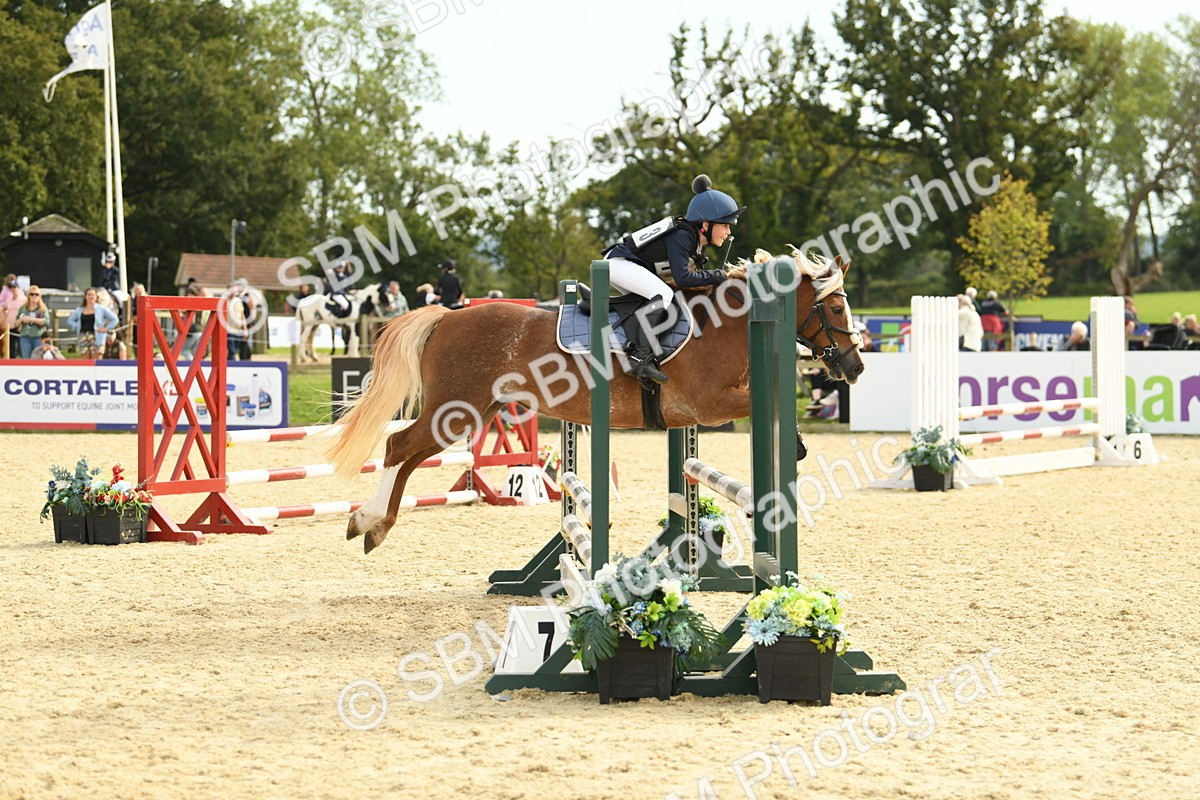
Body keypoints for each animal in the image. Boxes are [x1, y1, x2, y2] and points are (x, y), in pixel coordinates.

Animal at [329, 251, 863, 553]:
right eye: (837, 308)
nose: (855, 368)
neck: (722, 323)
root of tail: (447, 315)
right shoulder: (706, 404)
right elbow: (760, 403)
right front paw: (794, 445)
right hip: (456, 410)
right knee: (399, 448)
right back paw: (369, 521)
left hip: (473, 412)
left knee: (409, 456)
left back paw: (374, 525)